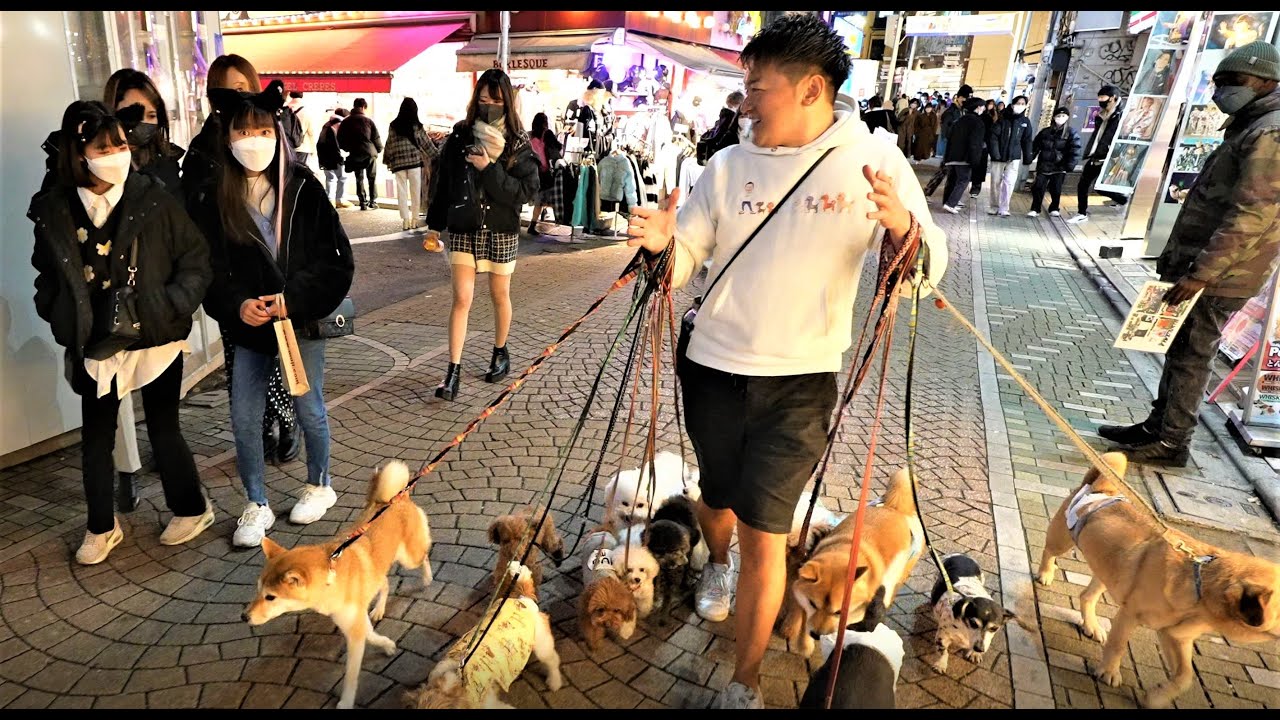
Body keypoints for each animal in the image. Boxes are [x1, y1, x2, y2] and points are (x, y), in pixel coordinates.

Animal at [241, 458, 432, 707]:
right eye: (258, 591)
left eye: (270, 597)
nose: (244, 617)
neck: (331, 578)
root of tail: (398, 497)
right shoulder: (353, 619)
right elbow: (370, 633)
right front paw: (386, 644)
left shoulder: (354, 627)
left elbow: (351, 675)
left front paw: (346, 702)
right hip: (378, 569)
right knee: (385, 583)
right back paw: (379, 609)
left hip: (409, 558)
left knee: (424, 555)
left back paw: (427, 577)